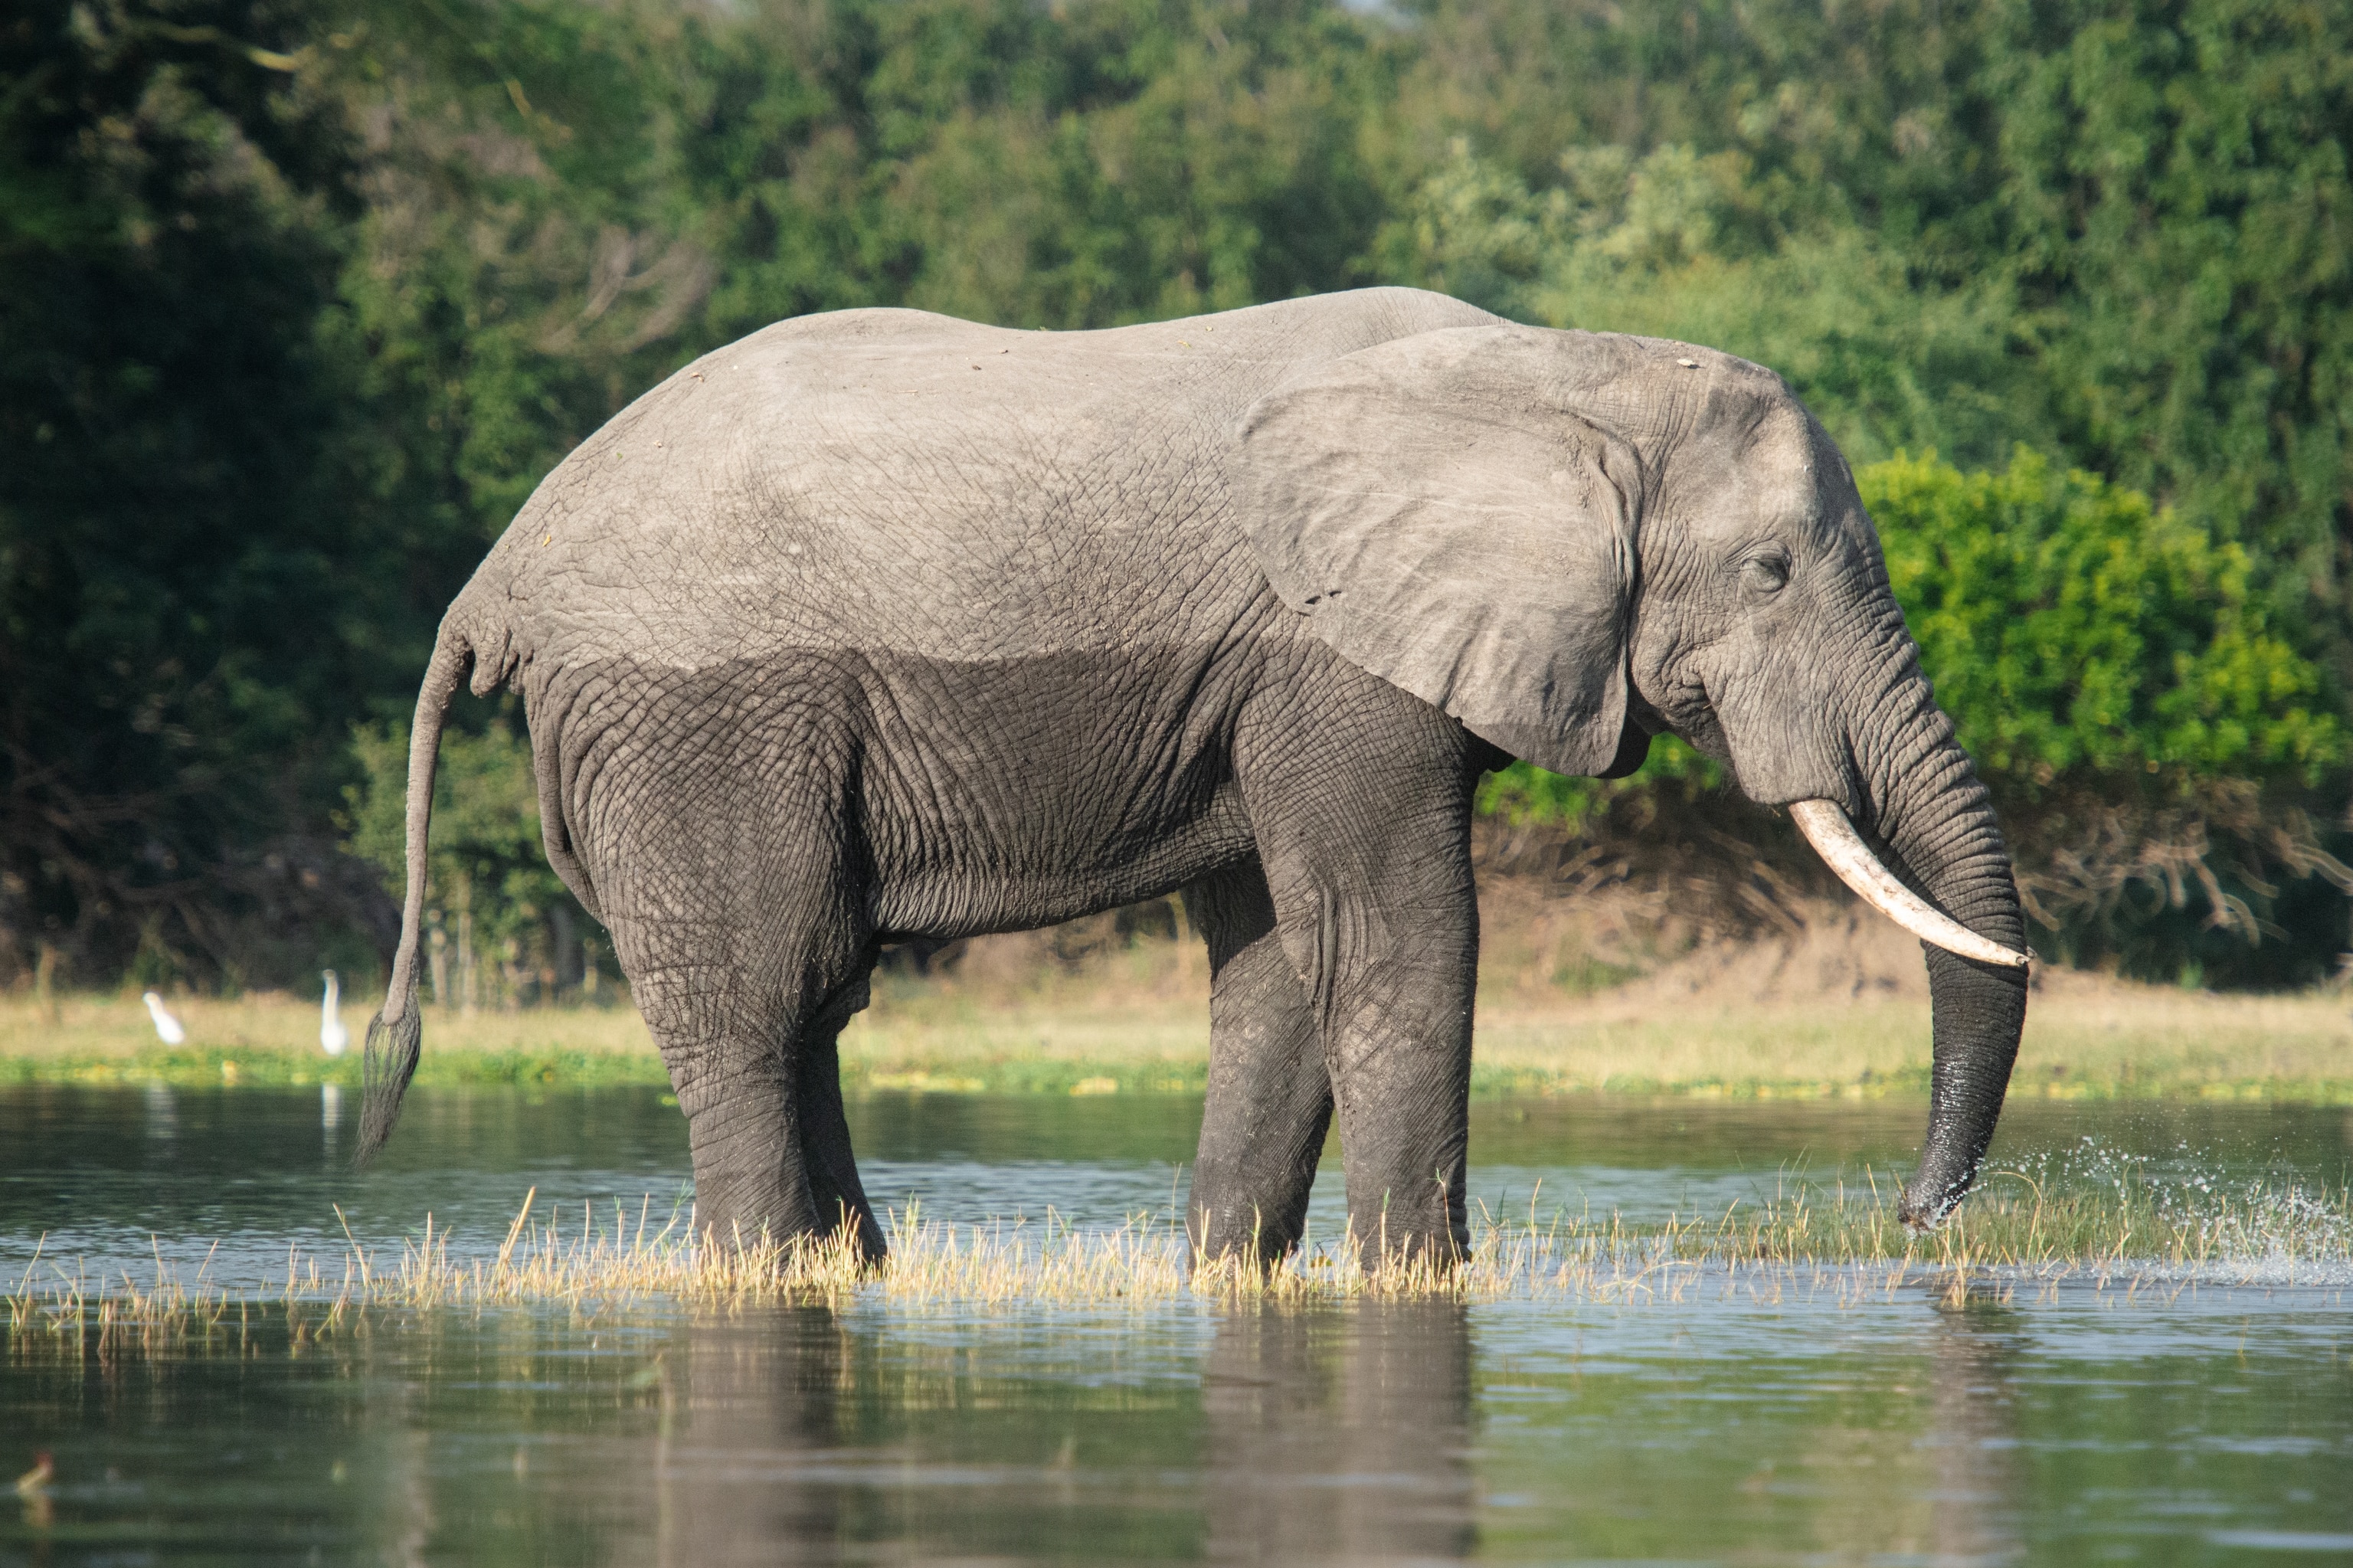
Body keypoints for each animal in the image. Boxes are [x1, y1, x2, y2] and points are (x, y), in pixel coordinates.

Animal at [359, 286, 2029, 1266]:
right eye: (1770, 571)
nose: (1906, 1220)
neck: (1561, 369)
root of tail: (496, 575)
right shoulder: (1328, 650)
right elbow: (1394, 940)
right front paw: (1421, 1283)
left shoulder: (1278, 671)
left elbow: (1286, 960)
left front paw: (1237, 1275)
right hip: (698, 717)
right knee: (758, 994)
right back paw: (772, 1272)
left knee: (814, 993)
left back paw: (856, 1272)